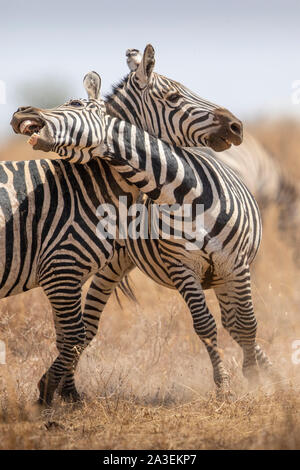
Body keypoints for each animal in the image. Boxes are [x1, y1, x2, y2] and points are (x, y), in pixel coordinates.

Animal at [11, 71, 270, 402]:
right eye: (173, 97)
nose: (236, 126)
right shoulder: (182, 267)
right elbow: (206, 325)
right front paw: (227, 384)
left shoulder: (235, 263)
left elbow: (246, 324)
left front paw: (258, 380)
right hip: (112, 264)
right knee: (85, 327)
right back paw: (65, 390)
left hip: (222, 273)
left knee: (235, 322)